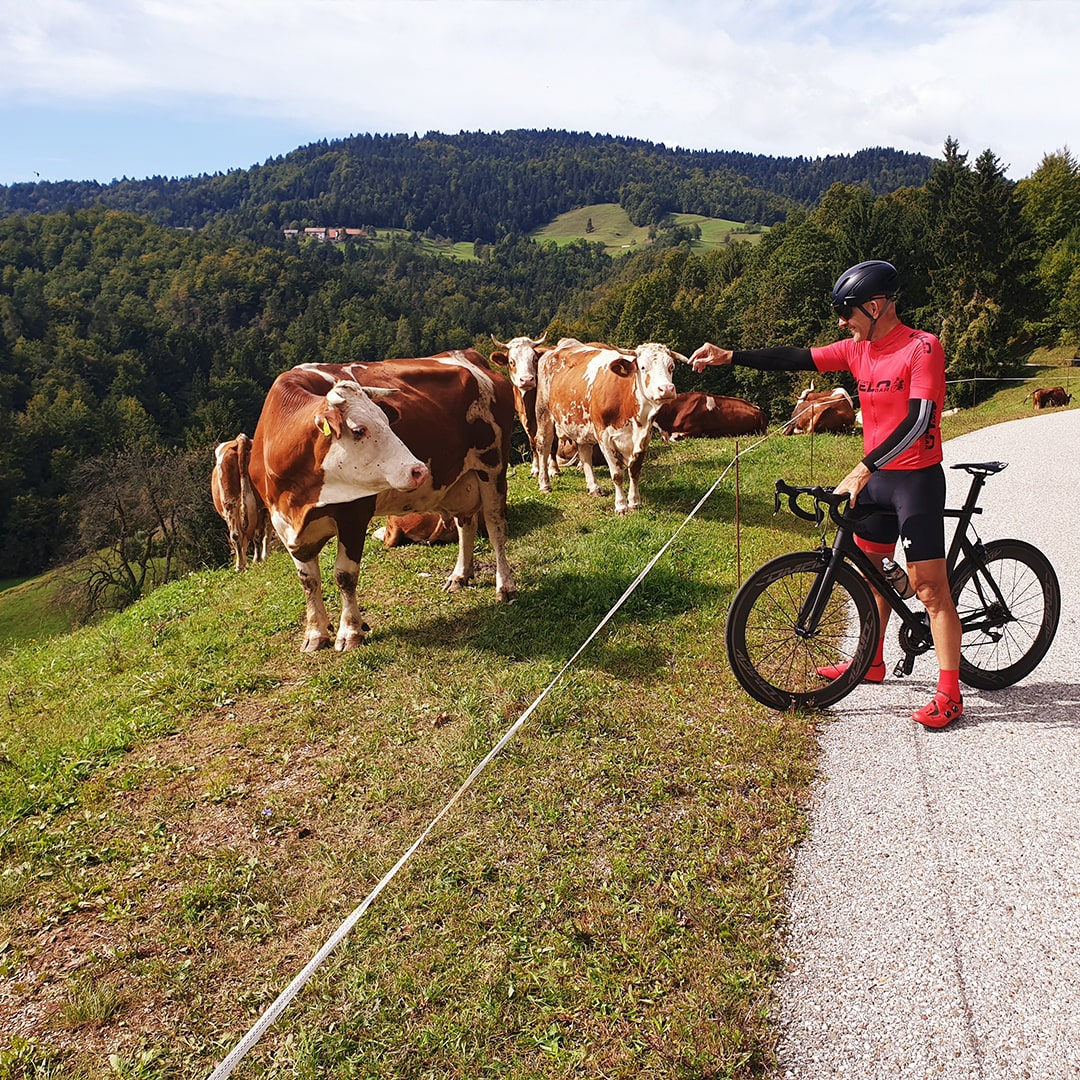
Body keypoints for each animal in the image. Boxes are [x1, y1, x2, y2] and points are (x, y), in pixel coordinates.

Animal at [210, 432, 270, 574]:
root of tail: (241, 440)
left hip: (229, 503)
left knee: (236, 535)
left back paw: (240, 566)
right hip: (256, 505)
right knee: (256, 534)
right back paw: (256, 560)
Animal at [247, 352, 516, 648]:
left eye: (387, 422)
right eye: (358, 429)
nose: (418, 469)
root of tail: (467, 355)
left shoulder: (353, 514)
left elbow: (344, 575)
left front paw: (350, 632)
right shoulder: (284, 524)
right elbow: (308, 580)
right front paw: (315, 634)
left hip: (492, 466)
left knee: (495, 528)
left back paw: (505, 585)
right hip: (459, 482)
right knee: (465, 525)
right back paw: (460, 575)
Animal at [535, 334, 686, 511]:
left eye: (671, 366)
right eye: (642, 367)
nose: (667, 389)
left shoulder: (644, 436)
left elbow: (634, 471)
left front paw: (634, 502)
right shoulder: (605, 437)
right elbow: (617, 475)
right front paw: (621, 506)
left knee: (584, 452)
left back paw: (593, 487)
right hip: (543, 412)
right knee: (543, 445)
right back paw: (545, 484)